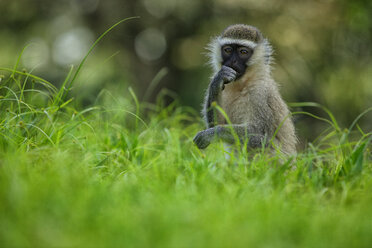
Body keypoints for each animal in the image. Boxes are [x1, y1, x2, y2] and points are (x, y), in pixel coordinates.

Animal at [193, 23, 298, 155]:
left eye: (243, 52)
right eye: (228, 50)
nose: (233, 61)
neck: (243, 85)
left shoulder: (260, 93)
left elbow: (262, 137)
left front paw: (213, 133)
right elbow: (218, 122)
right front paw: (217, 80)